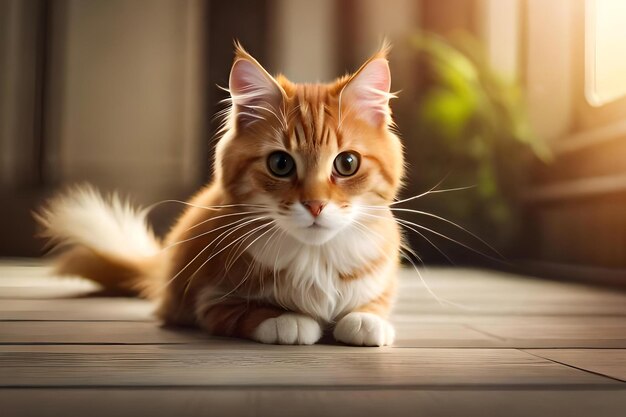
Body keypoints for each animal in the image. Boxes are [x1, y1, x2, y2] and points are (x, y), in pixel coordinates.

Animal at [36, 44, 402, 346]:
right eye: (281, 164)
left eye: (347, 163)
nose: (315, 205)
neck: (316, 259)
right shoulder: (209, 299)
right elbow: (250, 312)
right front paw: (288, 320)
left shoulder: (381, 280)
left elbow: (372, 305)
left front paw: (366, 321)